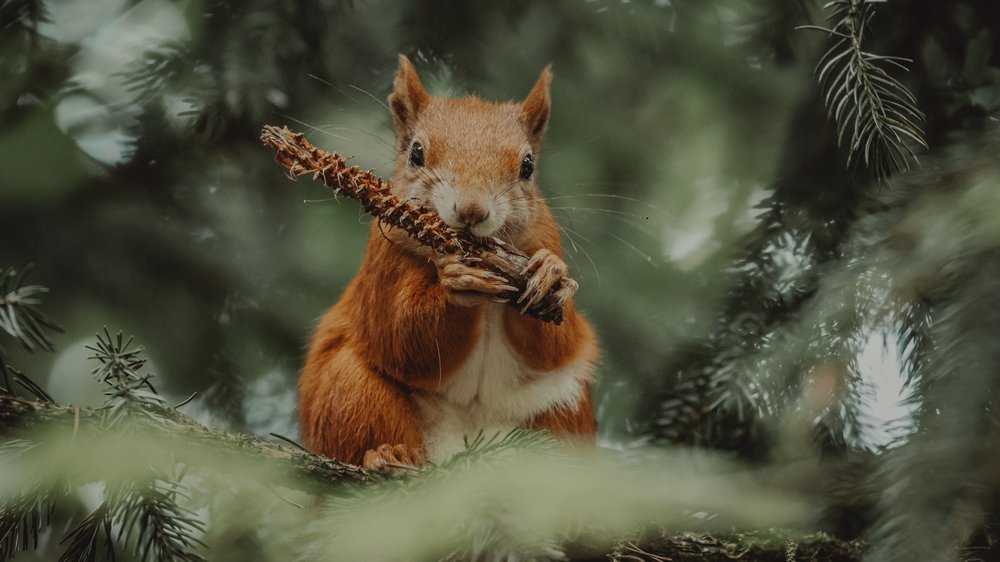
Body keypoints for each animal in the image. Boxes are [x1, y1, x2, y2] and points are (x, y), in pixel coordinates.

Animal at [294, 55, 592, 468]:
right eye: (416, 154)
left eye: (528, 166)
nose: (471, 210)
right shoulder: (384, 261)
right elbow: (404, 334)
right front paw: (458, 286)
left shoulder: (547, 238)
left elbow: (554, 345)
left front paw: (549, 275)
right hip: (349, 390)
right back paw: (389, 454)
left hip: (565, 409)